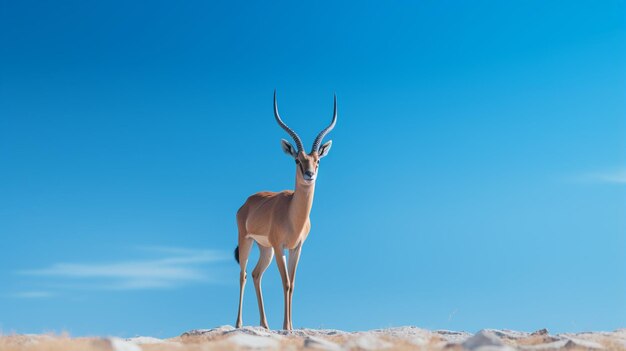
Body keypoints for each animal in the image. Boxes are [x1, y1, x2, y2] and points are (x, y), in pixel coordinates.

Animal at [233, 90, 334, 330]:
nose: (309, 174)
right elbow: (285, 282)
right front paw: (286, 326)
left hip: (265, 248)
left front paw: (291, 326)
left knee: (256, 274)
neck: (292, 215)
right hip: (247, 241)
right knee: (243, 275)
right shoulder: (281, 247)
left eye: (317, 161)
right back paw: (239, 324)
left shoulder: (296, 248)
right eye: (297, 160)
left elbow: (293, 283)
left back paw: (265, 325)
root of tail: (246, 203)